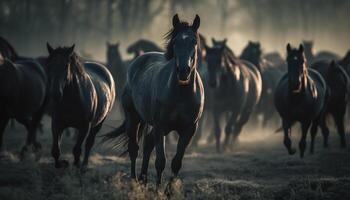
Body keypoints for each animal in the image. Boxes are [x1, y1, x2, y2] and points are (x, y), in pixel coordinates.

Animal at [102, 14, 204, 188]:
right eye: (175, 42)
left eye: (194, 42)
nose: (183, 71)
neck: (181, 94)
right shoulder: (160, 127)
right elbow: (161, 162)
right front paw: (158, 190)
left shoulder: (189, 129)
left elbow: (176, 162)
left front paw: (169, 190)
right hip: (134, 118)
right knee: (134, 149)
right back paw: (135, 181)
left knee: (147, 144)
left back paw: (143, 179)